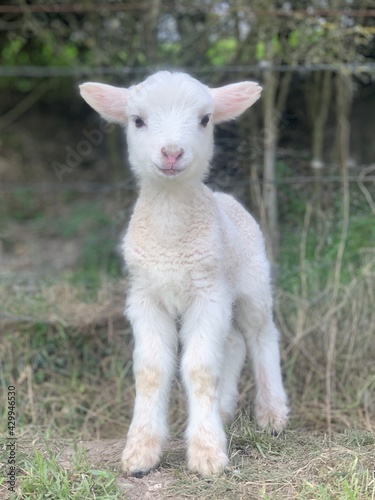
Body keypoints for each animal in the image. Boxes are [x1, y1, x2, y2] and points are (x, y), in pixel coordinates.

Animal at [80, 71, 290, 476]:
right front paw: (140, 453)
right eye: (137, 120)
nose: (172, 153)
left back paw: (272, 415)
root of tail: (223, 196)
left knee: (261, 336)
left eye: (205, 119)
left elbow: (200, 369)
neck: (170, 236)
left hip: (252, 283)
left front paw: (208, 453)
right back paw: (223, 410)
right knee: (234, 344)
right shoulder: (145, 296)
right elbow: (151, 371)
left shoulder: (207, 293)